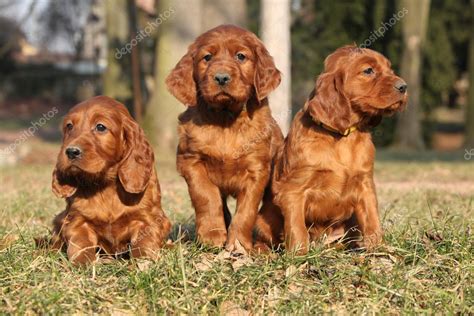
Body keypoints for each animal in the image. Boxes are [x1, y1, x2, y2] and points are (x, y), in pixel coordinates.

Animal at [50, 95, 171, 264]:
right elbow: (80, 244)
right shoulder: (77, 221)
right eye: (69, 126)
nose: (71, 151)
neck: (105, 184)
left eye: (100, 127)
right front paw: (82, 262)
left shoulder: (148, 220)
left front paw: (143, 262)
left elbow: (143, 243)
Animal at [167, 24, 284, 252]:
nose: (221, 77)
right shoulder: (190, 161)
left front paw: (238, 244)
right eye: (207, 57)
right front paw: (211, 235)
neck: (225, 119)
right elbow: (206, 196)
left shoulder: (256, 170)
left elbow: (246, 210)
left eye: (241, 56)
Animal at [256, 45, 408, 254]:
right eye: (368, 70)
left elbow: (372, 219)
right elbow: (297, 227)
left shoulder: (365, 184)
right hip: (263, 219)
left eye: (389, 69)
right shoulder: (293, 190)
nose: (404, 87)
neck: (343, 137)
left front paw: (378, 249)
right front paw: (299, 255)